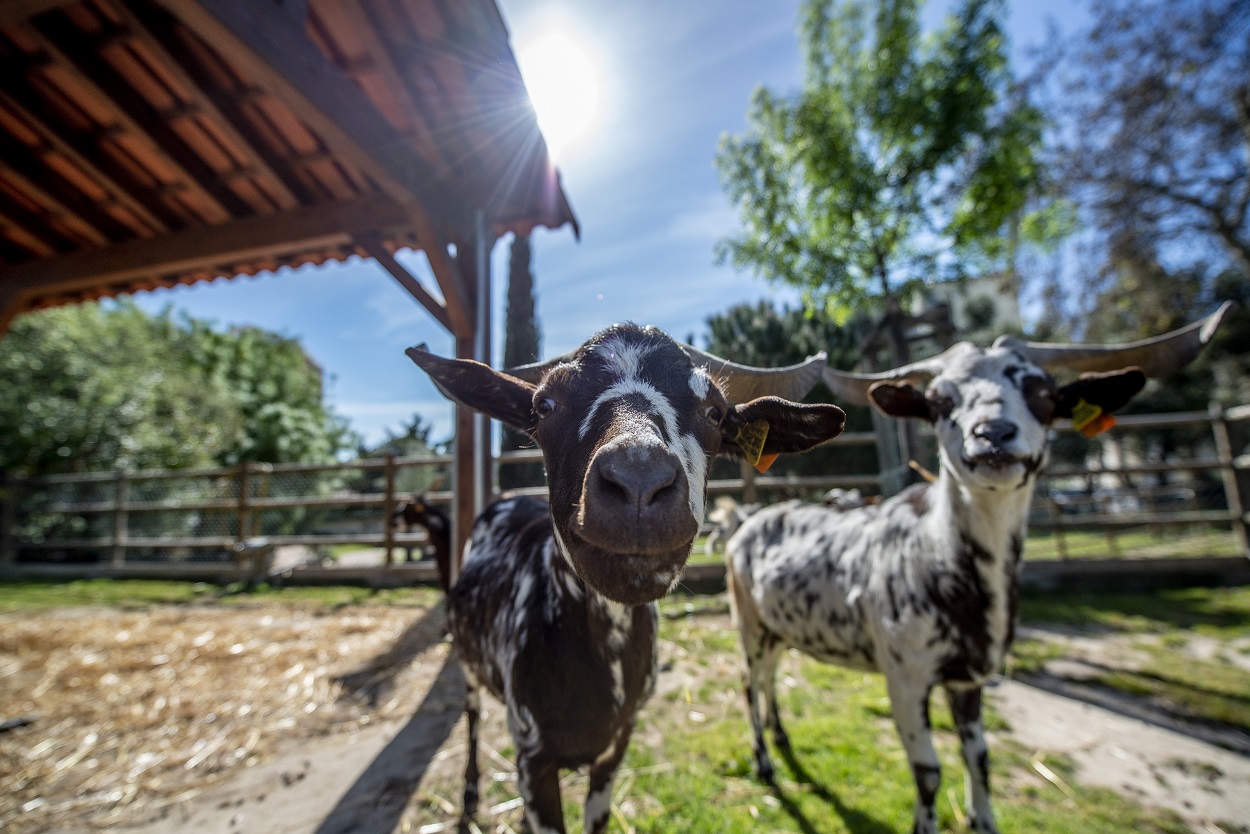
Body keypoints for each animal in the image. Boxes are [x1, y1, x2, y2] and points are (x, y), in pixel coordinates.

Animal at [405, 325, 845, 834]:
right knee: (473, 717)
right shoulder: (532, 758)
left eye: (715, 412)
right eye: (544, 405)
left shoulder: (617, 746)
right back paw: (471, 792)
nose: (638, 482)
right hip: (469, 666)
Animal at [730, 308, 1225, 834]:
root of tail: (748, 521)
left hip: (778, 627)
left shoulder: (968, 678)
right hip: (749, 622)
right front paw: (926, 823)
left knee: (770, 675)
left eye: (1043, 393)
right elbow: (928, 771)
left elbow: (980, 757)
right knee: (749, 682)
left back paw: (781, 736)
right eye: (941, 400)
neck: (938, 559)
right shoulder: (905, 675)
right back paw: (764, 762)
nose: (993, 435)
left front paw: (982, 819)